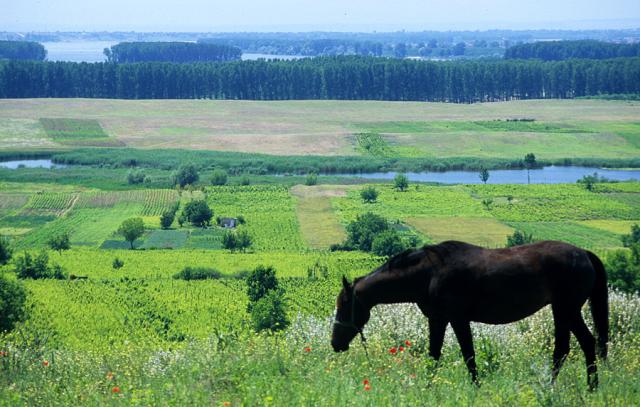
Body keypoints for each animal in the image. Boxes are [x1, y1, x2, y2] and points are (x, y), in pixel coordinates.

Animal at [332, 241, 608, 390]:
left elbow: (469, 355)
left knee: (575, 345)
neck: (428, 273)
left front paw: (476, 387)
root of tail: (584, 253)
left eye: (344, 304)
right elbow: (434, 356)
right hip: (564, 311)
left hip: (566, 309)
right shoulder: (438, 319)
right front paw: (427, 387)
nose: (335, 343)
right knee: (573, 346)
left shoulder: (458, 319)